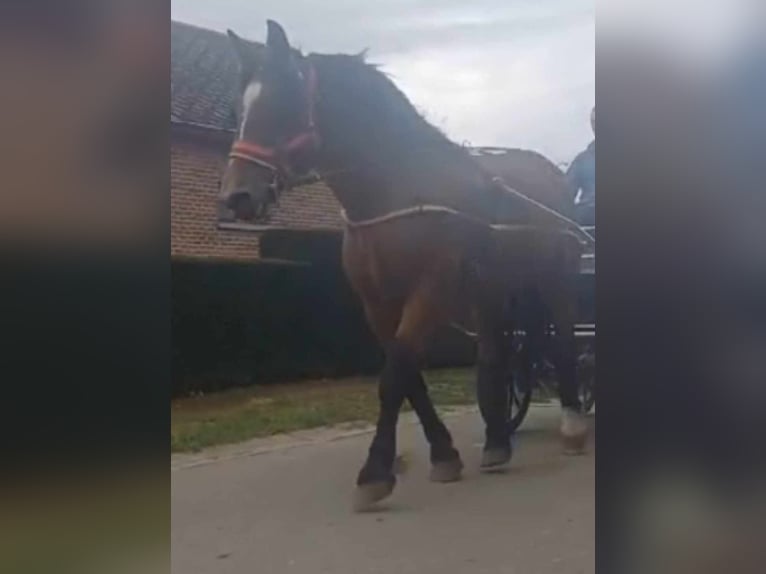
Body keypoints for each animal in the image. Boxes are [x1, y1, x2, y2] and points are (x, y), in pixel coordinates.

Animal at [219, 20, 592, 512]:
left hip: (556, 281)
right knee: (495, 355)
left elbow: (395, 375)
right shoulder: (377, 303)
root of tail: (554, 177)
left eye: (284, 101)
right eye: (239, 106)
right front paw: (445, 456)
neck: (397, 194)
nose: (237, 196)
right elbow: (409, 376)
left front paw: (374, 474)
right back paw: (496, 443)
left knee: (564, 342)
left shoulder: (429, 291)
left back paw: (573, 427)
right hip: (491, 293)